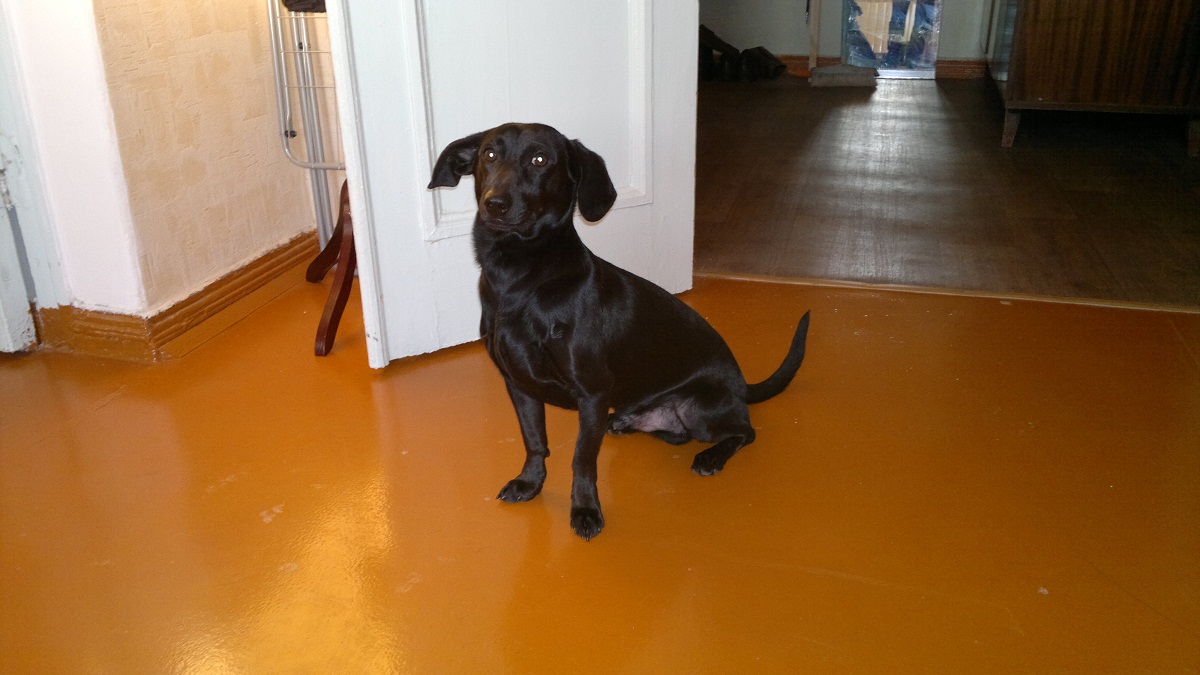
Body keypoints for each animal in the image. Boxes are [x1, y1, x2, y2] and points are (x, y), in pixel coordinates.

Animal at [428, 123, 810, 540]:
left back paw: (711, 457)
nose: (495, 203)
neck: (520, 277)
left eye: (540, 159)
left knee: (744, 431)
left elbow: (582, 460)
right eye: (489, 155)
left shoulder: (592, 393)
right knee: (675, 432)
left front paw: (585, 510)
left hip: (700, 410)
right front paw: (530, 483)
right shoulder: (519, 384)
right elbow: (535, 441)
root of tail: (741, 385)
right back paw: (626, 422)